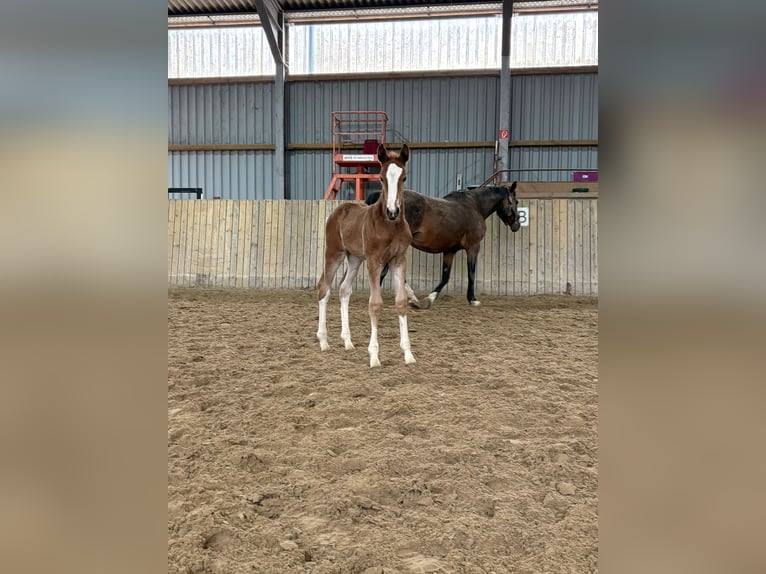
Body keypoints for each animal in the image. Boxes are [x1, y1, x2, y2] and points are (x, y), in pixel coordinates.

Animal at [316, 143, 416, 369]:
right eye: (381, 177)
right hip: (334, 253)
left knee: (344, 289)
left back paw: (348, 341)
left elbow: (401, 302)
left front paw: (408, 354)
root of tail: (339, 210)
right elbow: (375, 304)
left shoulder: (399, 260)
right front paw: (374, 356)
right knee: (324, 287)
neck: (389, 226)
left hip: (354, 258)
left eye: (404, 177)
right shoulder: (374, 261)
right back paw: (324, 341)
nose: (392, 211)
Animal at [365, 183, 521, 308]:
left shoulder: (450, 250)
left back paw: (411, 298)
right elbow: (471, 273)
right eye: (516, 201)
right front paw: (473, 299)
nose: (517, 225)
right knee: (385, 270)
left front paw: (429, 299)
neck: (475, 206)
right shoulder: (473, 247)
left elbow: (445, 276)